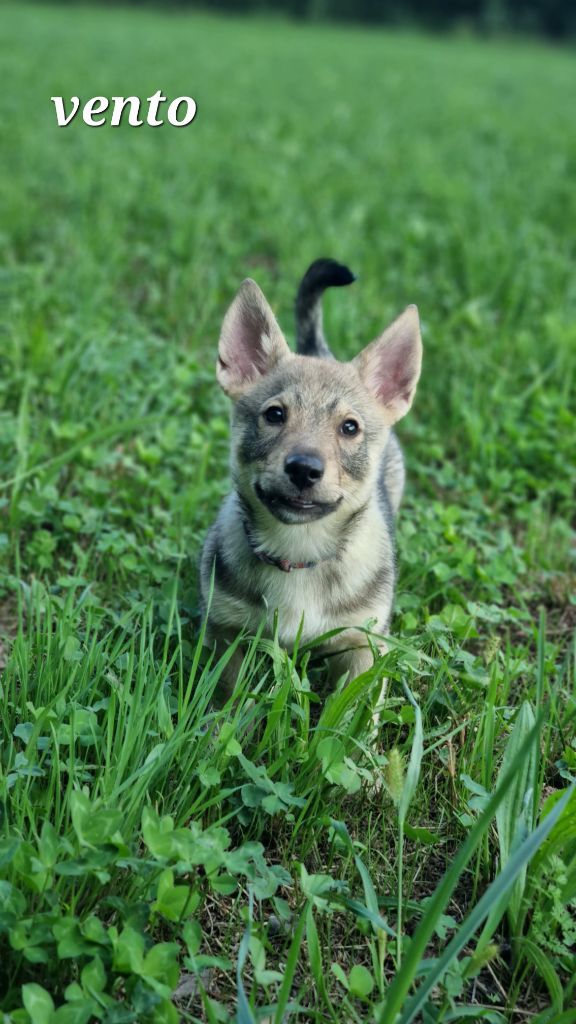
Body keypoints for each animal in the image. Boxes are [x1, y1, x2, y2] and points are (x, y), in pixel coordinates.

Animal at [199, 260, 420, 700]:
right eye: (274, 415)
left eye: (349, 427)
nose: (303, 468)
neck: (299, 553)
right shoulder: (226, 631)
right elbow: (228, 697)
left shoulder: (362, 646)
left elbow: (351, 712)